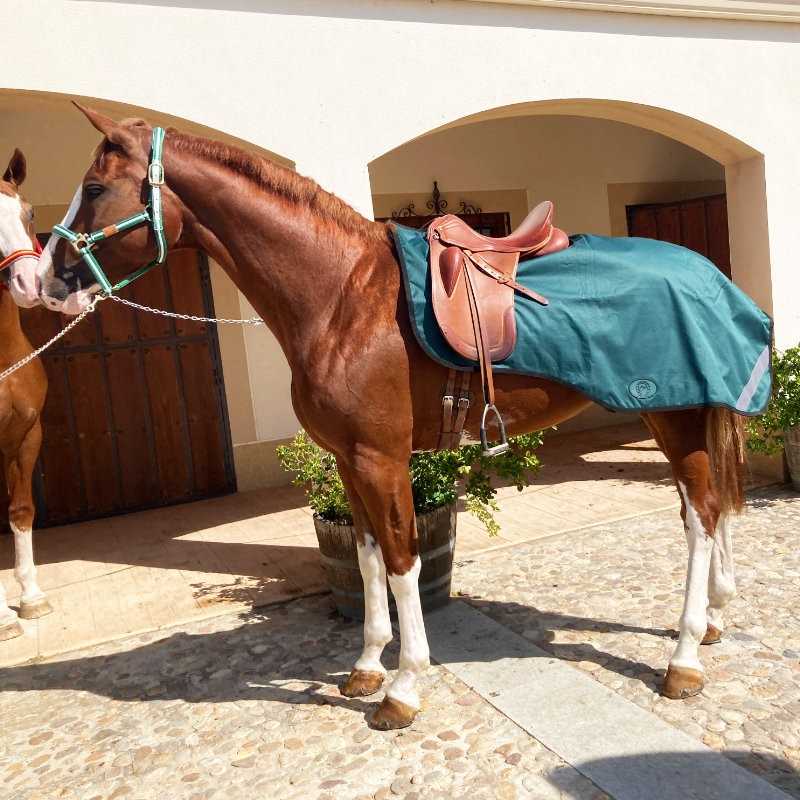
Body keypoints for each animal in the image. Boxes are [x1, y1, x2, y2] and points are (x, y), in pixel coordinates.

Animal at [19, 104, 741, 729]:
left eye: (93, 187)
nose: (37, 282)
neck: (342, 298)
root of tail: (710, 276)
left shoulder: (381, 457)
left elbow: (402, 561)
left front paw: (405, 687)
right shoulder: (346, 460)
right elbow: (367, 560)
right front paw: (367, 666)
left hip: (674, 416)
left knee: (702, 515)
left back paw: (682, 659)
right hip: (667, 418)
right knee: (698, 509)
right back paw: (710, 621)